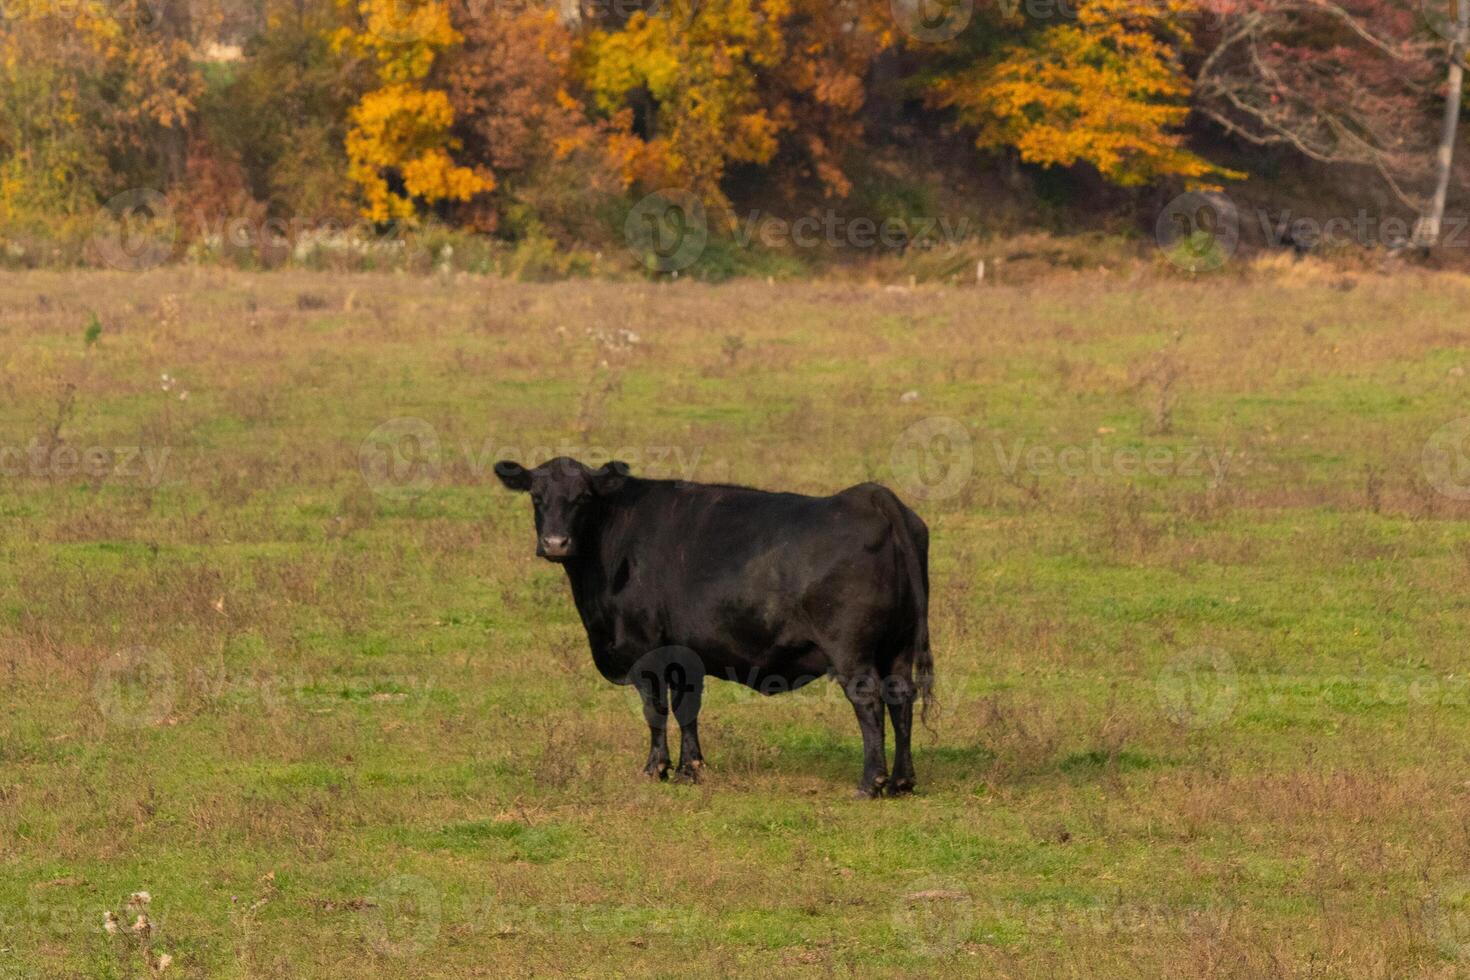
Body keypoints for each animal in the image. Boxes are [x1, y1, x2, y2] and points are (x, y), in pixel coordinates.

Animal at [493, 458, 929, 799]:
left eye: (583, 497)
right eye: (536, 496)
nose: (555, 543)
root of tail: (868, 496)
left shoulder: (646, 649)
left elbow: (655, 708)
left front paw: (656, 769)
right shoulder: (685, 655)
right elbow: (687, 708)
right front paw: (691, 769)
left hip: (851, 650)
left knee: (869, 700)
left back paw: (870, 783)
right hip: (899, 646)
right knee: (900, 697)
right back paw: (902, 781)